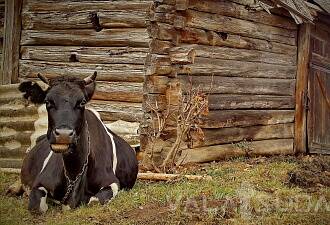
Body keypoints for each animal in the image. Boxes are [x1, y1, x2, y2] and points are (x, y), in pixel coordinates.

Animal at [17, 72, 138, 213]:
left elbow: (93, 201)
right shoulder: (40, 182)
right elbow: (37, 207)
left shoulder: (111, 181)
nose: (63, 134)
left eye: (82, 102)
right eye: (47, 101)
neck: (73, 172)